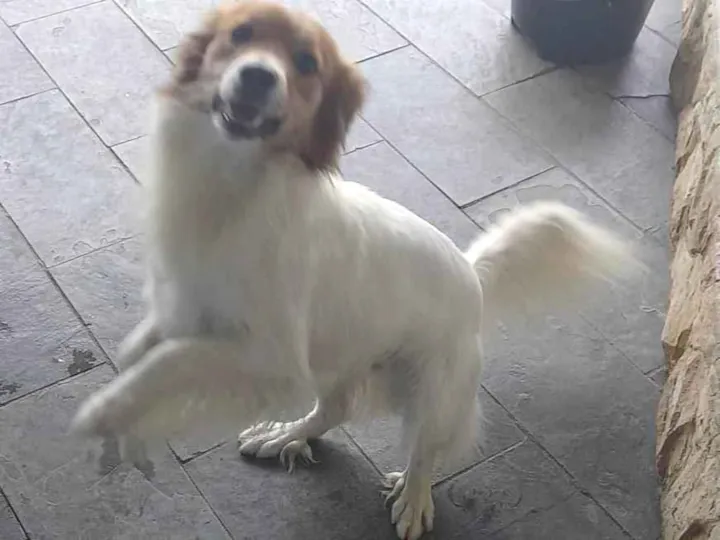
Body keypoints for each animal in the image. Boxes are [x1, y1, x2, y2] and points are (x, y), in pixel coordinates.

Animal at [71, 2, 637, 538]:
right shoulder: (185, 305)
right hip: (341, 357)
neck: (230, 185)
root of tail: (472, 273)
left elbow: (170, 362)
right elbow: (141, 350)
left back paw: (413, 497)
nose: (257, 76)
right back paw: (285, 434)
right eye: (240, 34)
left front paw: (107, 410)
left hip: (433, 388)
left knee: (425, 449)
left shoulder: (271, 357)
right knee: (333, 411)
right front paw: (128, 403)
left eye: (306, 63)